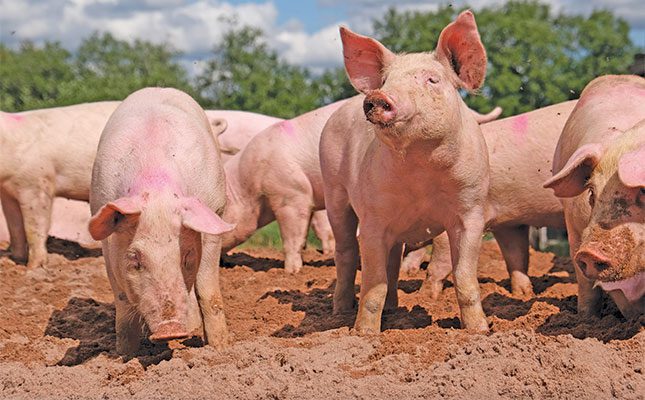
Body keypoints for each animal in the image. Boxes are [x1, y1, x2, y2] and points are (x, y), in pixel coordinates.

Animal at [88, 87, 235, 354]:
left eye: (186, 257)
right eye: (135, 259)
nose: (170, 330)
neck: (156, 183)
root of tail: (158, 88)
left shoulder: (213, 214)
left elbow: (208, 292)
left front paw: (219, 348)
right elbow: (122, 302)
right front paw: (124, 355)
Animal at [320, 11, 492, 333]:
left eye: (432, 79)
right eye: (387, 80)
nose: (377, 96)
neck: (421, 168)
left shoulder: (472, 211)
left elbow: (464, 279)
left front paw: (480, 331)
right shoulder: (373, 218)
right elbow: (373, 285)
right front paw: (363, 334)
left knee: (392, 261)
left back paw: (393, 310)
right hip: (333, 191)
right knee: (346, 253)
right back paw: (339, 314)